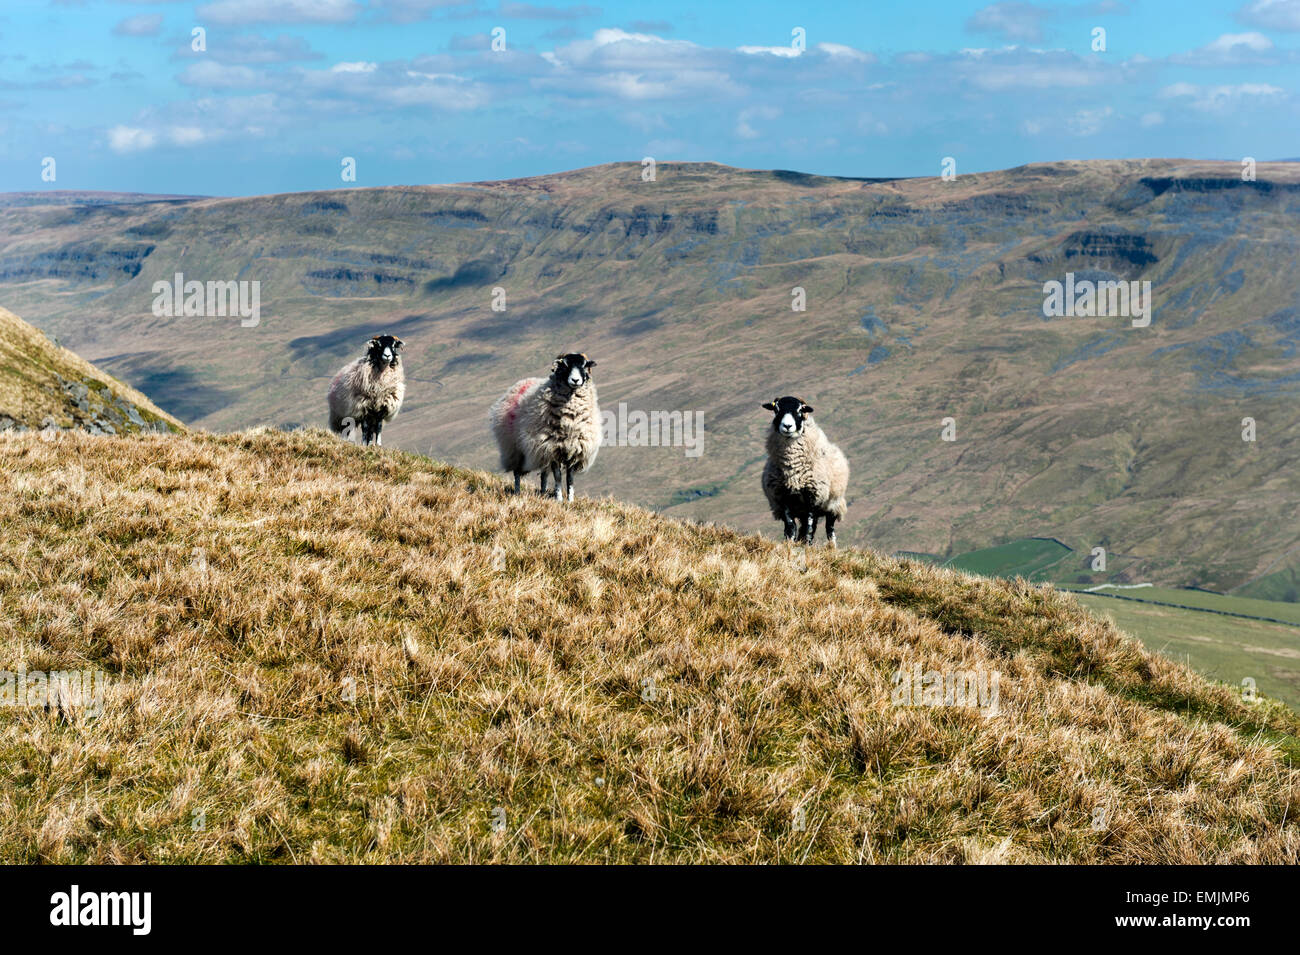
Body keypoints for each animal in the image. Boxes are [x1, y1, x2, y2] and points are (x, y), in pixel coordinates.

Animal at [488, 350, 600, 501]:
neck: (570, 420)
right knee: (517, 473)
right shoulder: (552, 448)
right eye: (564, 365)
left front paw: (570, 501)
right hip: (514, 448)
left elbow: (570, 479)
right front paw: (559, 500)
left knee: (544, 474)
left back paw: (542, 492)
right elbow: (558, 477)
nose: (575, 380)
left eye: (584, 365)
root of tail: (522, 382)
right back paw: (517, 493)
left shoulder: (573, 450)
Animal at [759, 394, 852, 545]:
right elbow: (790, 526)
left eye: (800, 410)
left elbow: (810, 527)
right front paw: (789, 544)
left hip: (833, 504)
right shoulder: (783, 497)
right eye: (776, 409)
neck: (793, 471)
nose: (787, 426)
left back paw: (831, 546)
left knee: (829, 528)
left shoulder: (813, 498)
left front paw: (807, 546)